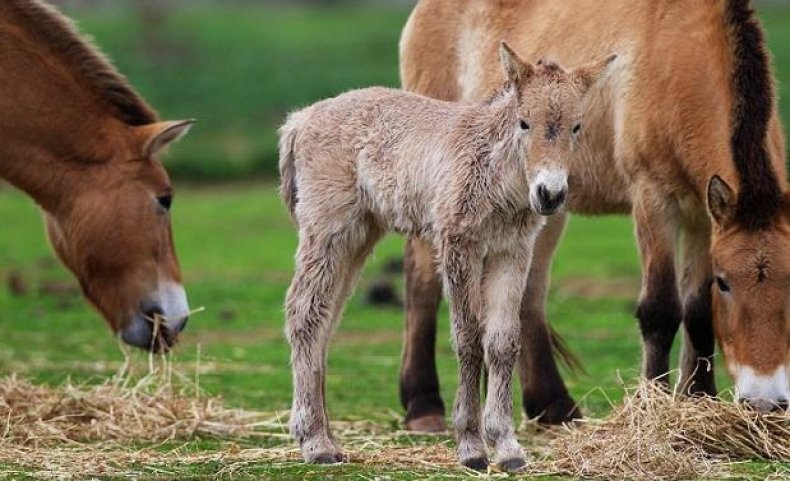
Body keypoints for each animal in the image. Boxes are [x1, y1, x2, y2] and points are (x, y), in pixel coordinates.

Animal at [282, 43, 616, 466]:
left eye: (576, 127)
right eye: (524, 123)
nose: (550, 194)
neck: (495, 172)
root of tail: (301, 119)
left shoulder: (511, 251)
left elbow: (502, 342)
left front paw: (507, 447)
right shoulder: (458, 245)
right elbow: (468, 338)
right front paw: (471, 447)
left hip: (359, 235)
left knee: (325, 319)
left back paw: (327, 440)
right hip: (327, 228)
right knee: (304, 314)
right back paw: (315, 443)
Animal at [402, 0, 790, 428]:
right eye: (726, 283)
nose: (766, 401)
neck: (680, 62)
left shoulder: (701, 216)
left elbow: (698, 312)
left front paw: (698, 399)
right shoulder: (653, 199)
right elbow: (660, 309)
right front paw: (652, 404)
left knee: (527, 293)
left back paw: (552, 406)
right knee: (422, 280)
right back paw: (423, 406)